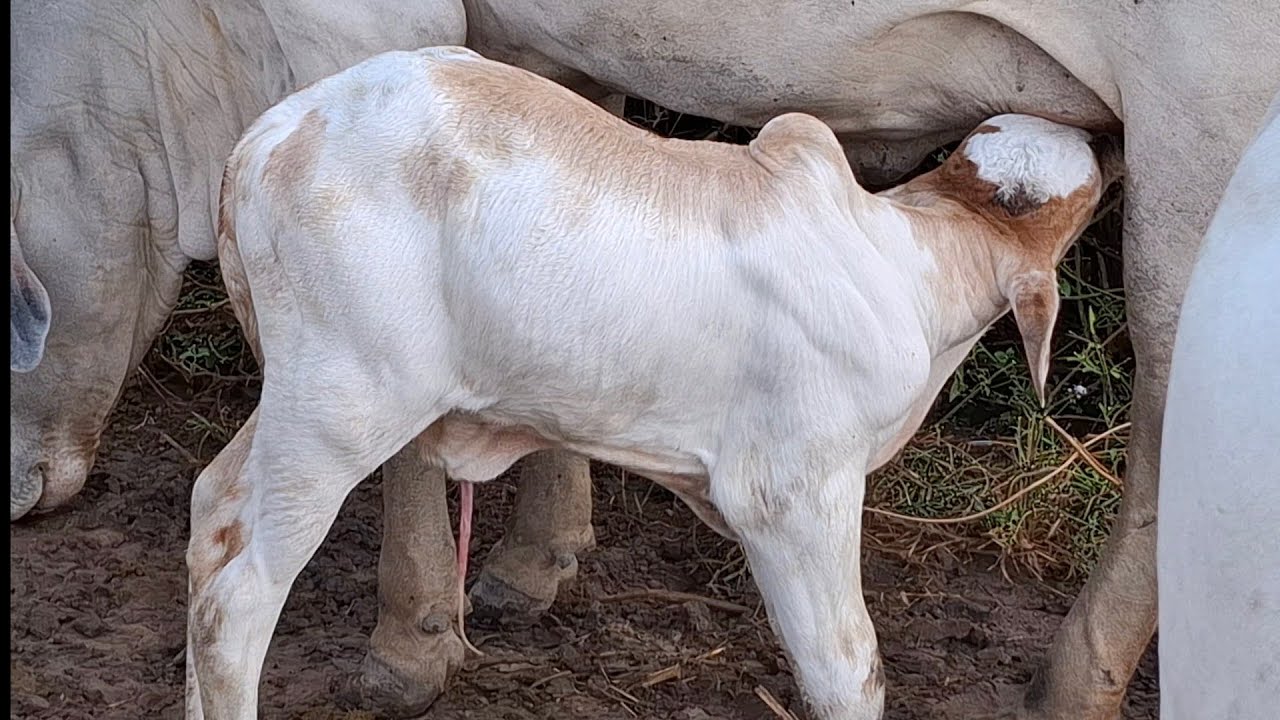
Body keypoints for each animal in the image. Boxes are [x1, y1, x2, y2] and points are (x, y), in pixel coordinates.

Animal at [186, 46, 1116, 720]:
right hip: (343, 407)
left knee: (209, 517)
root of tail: (265, 139)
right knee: (233, 605)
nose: (1103, 135)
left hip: (297, 397)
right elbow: (846, 671)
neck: (913, 257)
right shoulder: (792, 491)